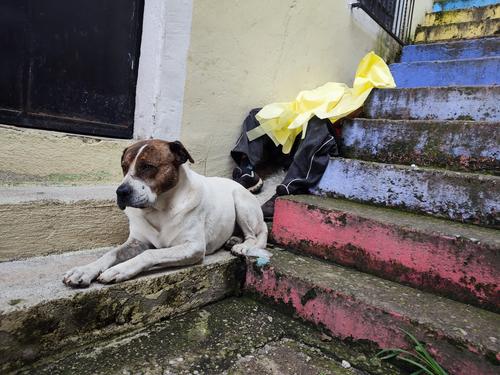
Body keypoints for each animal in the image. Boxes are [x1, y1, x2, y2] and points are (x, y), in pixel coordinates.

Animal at [63, 139, 268, 288]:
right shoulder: (136, 241)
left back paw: (243, 246)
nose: (120, 192)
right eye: (123, 166)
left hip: (241, 202)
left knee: (257, 234)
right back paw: (233, 239)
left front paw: (119, 270)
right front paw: (84, 270)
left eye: (147, 166)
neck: (158, 209)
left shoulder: (192, 247)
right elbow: (110, 254)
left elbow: (150, 254)